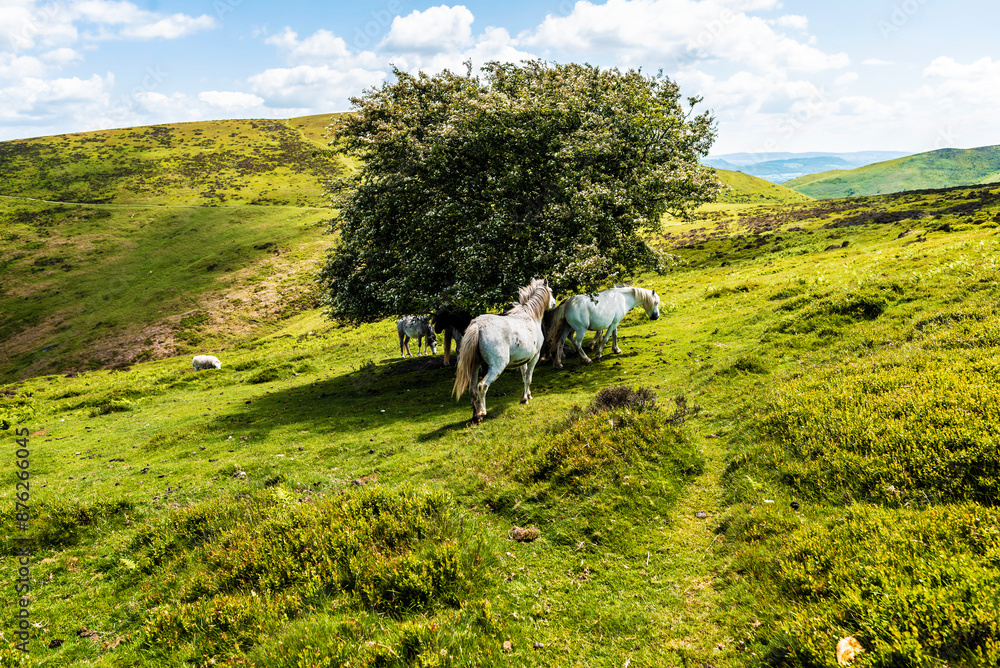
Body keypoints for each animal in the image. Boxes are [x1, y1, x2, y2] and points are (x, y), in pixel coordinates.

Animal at [453, 278, 555, 424]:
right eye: (551, 291)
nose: (554, 303)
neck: (530, 316)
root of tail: (478, 326)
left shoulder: (523, 360)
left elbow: (524, 376)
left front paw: (527, 395)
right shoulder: (534, 357)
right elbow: (528, 378)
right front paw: (525, 399)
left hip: (475, 366)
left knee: (472, 390)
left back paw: (475, 414)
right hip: (497, 366)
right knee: (482, 386)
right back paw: (481, 413)